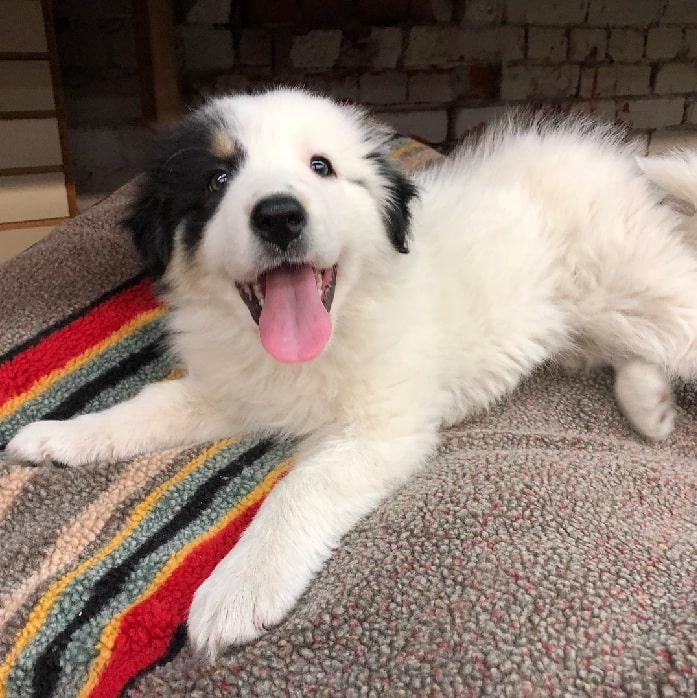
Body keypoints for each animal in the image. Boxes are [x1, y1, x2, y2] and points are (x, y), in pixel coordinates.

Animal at [8, 88, 696, 656]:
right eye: (218, 179)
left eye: (321, 167)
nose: (279, 214)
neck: (315, 341)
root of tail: (614, 165)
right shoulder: (230, 386)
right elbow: (149, 405)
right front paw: (58, 436)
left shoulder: (379, 430)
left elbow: (298, 491)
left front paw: (238, 591)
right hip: (591, 319)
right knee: (623, 348)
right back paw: (650, 406)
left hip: (636, 284)